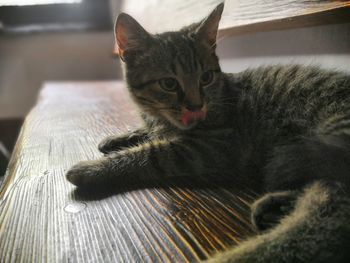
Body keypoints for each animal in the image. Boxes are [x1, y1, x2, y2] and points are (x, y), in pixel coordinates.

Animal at [65, 2, 350, 263]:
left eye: (206, 77)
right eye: (169, 83)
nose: (196, 106)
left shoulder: (211, 146)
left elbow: (152, 153)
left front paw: (95, 167)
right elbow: (149, 133)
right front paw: (119, 137)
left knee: (322, 222)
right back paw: (276, 207)